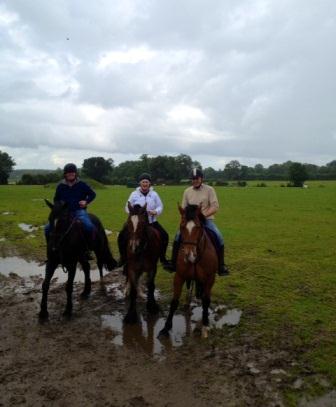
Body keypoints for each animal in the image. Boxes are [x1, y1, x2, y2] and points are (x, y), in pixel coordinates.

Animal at [159, 206, 218, 340]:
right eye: (181, 226)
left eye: (198, 227)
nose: (188, 254)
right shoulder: (179, 276)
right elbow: (174, 301)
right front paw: (165, 328)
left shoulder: (210, 279)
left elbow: (206, 301)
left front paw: (205, 327)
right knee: (189, 286)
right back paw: (187, 302)